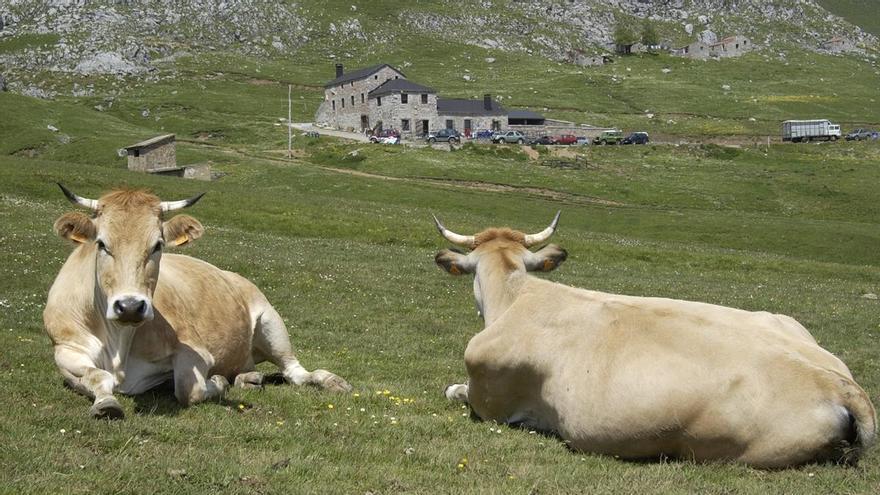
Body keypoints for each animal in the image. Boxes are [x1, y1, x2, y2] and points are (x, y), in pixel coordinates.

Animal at [43, 186, 348, 418]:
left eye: (157, 245)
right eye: (102, 244)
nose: (129, 306)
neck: (120, 342)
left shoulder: (196, 351)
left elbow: (189, 388)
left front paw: (218, 382)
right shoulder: (66, 349)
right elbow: (96, 376)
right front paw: (106, 402)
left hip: (271, 322)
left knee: (296, 371)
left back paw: (330, 380)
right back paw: (249, 379)